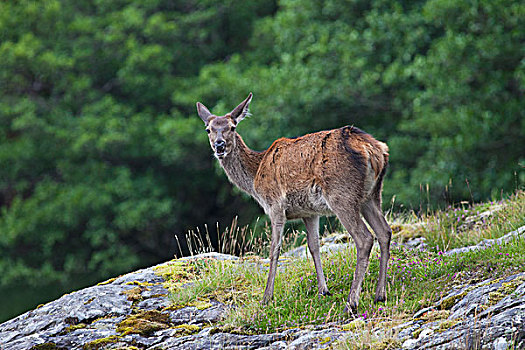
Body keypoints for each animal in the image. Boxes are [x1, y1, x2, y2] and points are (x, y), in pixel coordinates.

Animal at [194, 92, 390, 312]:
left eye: (232, 127)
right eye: (208, 129)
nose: (219, 145)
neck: (255, 177)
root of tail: (373, 149)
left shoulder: (275, 205)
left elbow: (274, 249)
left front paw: (266, 297)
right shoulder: (309, 212)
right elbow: (313, 246)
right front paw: (323, 290)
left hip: (342, 194)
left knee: (364, 238)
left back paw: (352, 301)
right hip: (371, 194)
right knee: (384, 232)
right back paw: (380, 294)